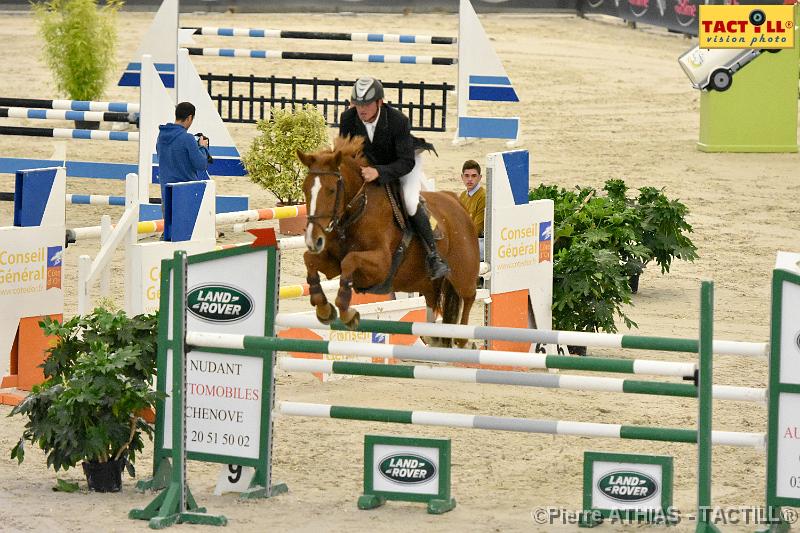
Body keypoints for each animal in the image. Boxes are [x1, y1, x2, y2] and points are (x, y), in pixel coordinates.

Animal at [296, 135, 478, 348]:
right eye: (304, 189)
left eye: (331, 190)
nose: (313, 240)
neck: (358, 211)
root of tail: (458, 202)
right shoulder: (333, 264)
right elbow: (310, 259)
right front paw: (324, 309)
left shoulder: (382, 265)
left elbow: (350, 260)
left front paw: (347, 313)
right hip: (427, 282)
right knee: (432, 309)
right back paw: (434, 338)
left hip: (464, 274)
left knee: (469, 297)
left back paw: (462, 339)